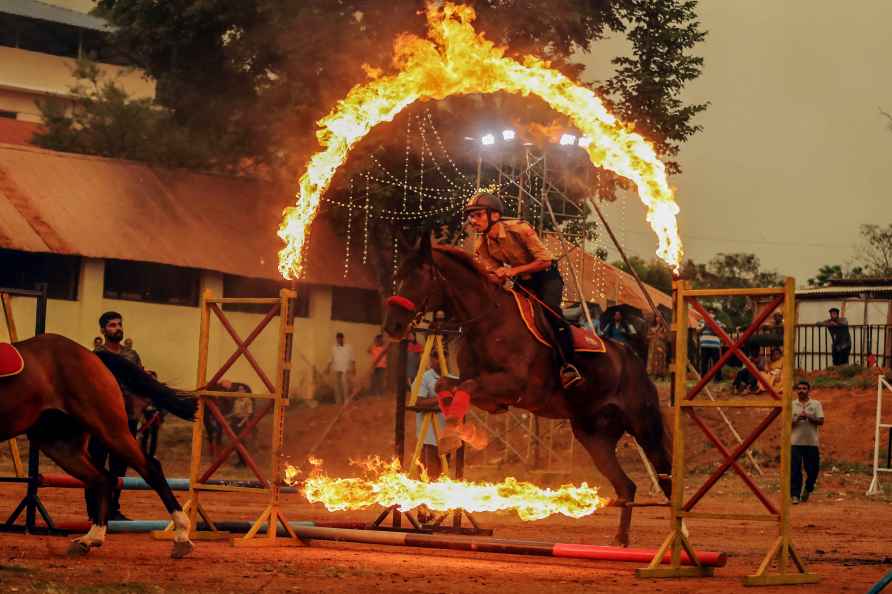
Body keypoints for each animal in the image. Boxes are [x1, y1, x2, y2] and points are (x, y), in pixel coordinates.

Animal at [0, 332, 196, 556]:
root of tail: (92, 356)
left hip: (109, 428)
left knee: (150, 468)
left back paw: (181, 535)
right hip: (59, 443)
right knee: (101, 478)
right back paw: (90, 538)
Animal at [384, 236, 668, 544]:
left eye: (420, 276)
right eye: (397, 276)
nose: (392, 326)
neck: (489, 321)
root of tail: (633, 359)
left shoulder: (514, 385)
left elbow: (466, 387)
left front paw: (457, 435)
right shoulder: (478, 386)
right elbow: (445, 386)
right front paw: (455, 432)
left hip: (644, 427)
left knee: (664, 473)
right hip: (594, 436)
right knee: (626, 486)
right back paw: (620, 539)